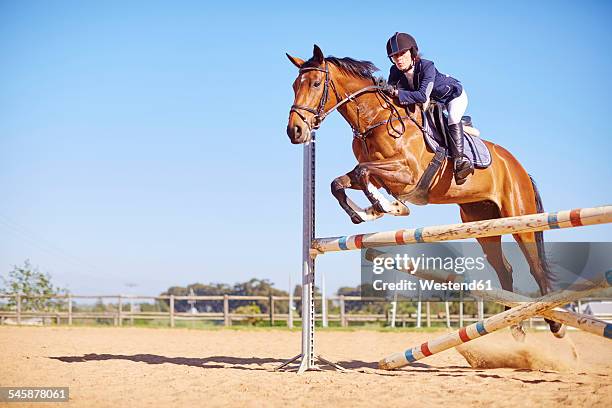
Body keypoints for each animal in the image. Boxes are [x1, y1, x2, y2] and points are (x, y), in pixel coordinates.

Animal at [286, 44, 564, 340]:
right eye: (294, 85)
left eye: (316, 83)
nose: (295, 131)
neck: (376, 120)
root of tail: (519, 167)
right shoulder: (380, 176)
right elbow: (340, 183)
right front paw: (366, 213)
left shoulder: (407, 174)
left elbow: (363, 173)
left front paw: (389, 207)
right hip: (482, 222)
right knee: (505, 269)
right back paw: (516, 325)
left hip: (519, 217)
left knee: (535, 267)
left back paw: (555, 325)